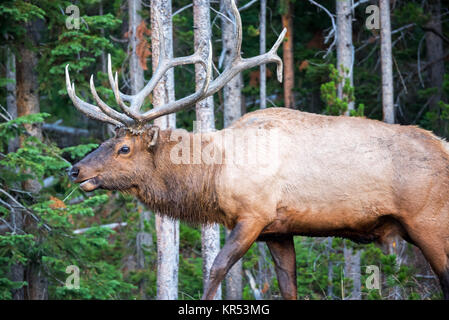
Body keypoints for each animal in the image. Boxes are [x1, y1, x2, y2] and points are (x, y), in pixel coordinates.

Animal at [65, 0, 448, 300]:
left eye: (124, 148)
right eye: (108, 140)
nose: (75, 169)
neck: (213, 174)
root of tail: (443, 146)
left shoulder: (253, 215)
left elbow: (216, 269)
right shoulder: (278, 231)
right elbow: (288, 286)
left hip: (428, 221)